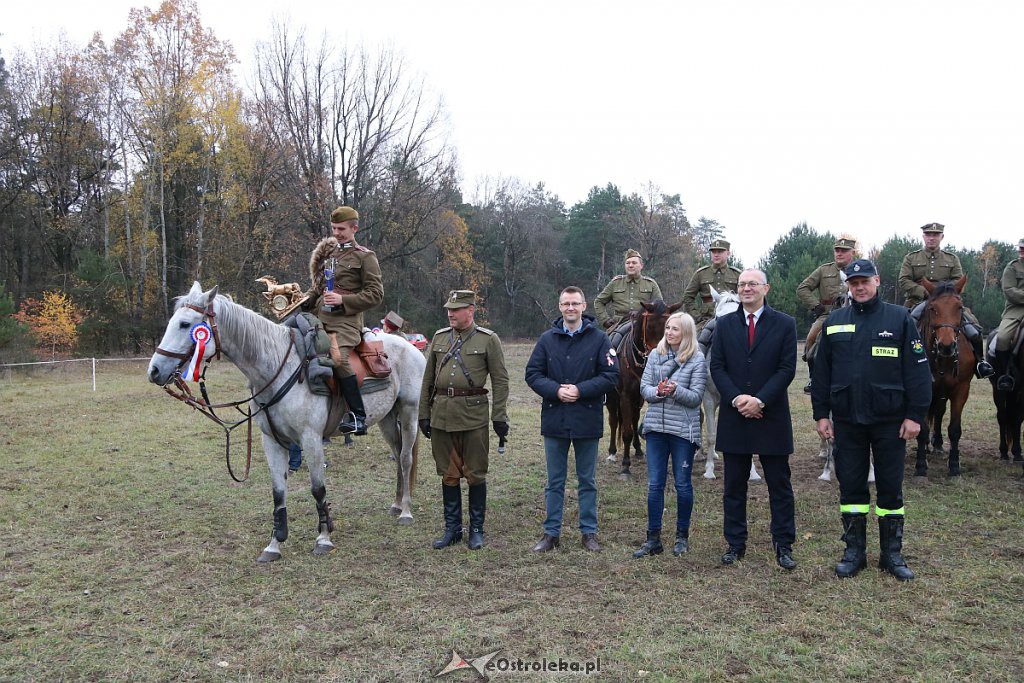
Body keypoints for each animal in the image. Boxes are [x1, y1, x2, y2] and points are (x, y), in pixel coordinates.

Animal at [148, 282, 423, 561]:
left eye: (185, 324)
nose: (155, 370)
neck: (279, 366)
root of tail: (411, 347)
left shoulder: (311, 438)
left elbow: (318, 488)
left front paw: (324, 538)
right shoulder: (271, 440)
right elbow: (278, 492)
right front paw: (274, 544)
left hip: (409, 412)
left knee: (405, 458)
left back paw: (406, 511)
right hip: (386, 419)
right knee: (398, 454)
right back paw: (396, 503)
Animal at [602, 299, 684, 475]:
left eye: (670, 328)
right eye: (649, 327)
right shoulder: (625, 396)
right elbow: (625, 431)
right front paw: (625, 466)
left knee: (633, 419)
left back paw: (638, 450)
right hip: (612, 396)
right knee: (614, 421)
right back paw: (612, 452)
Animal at [917, 274, 970, 479]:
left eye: (959, 307)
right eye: (933, 308)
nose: (947, 346)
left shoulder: (961, 389)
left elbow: (954, 429)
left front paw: (954, 466)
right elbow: (922, 428)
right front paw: (920, 465)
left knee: (939, 412)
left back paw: (937, 444)